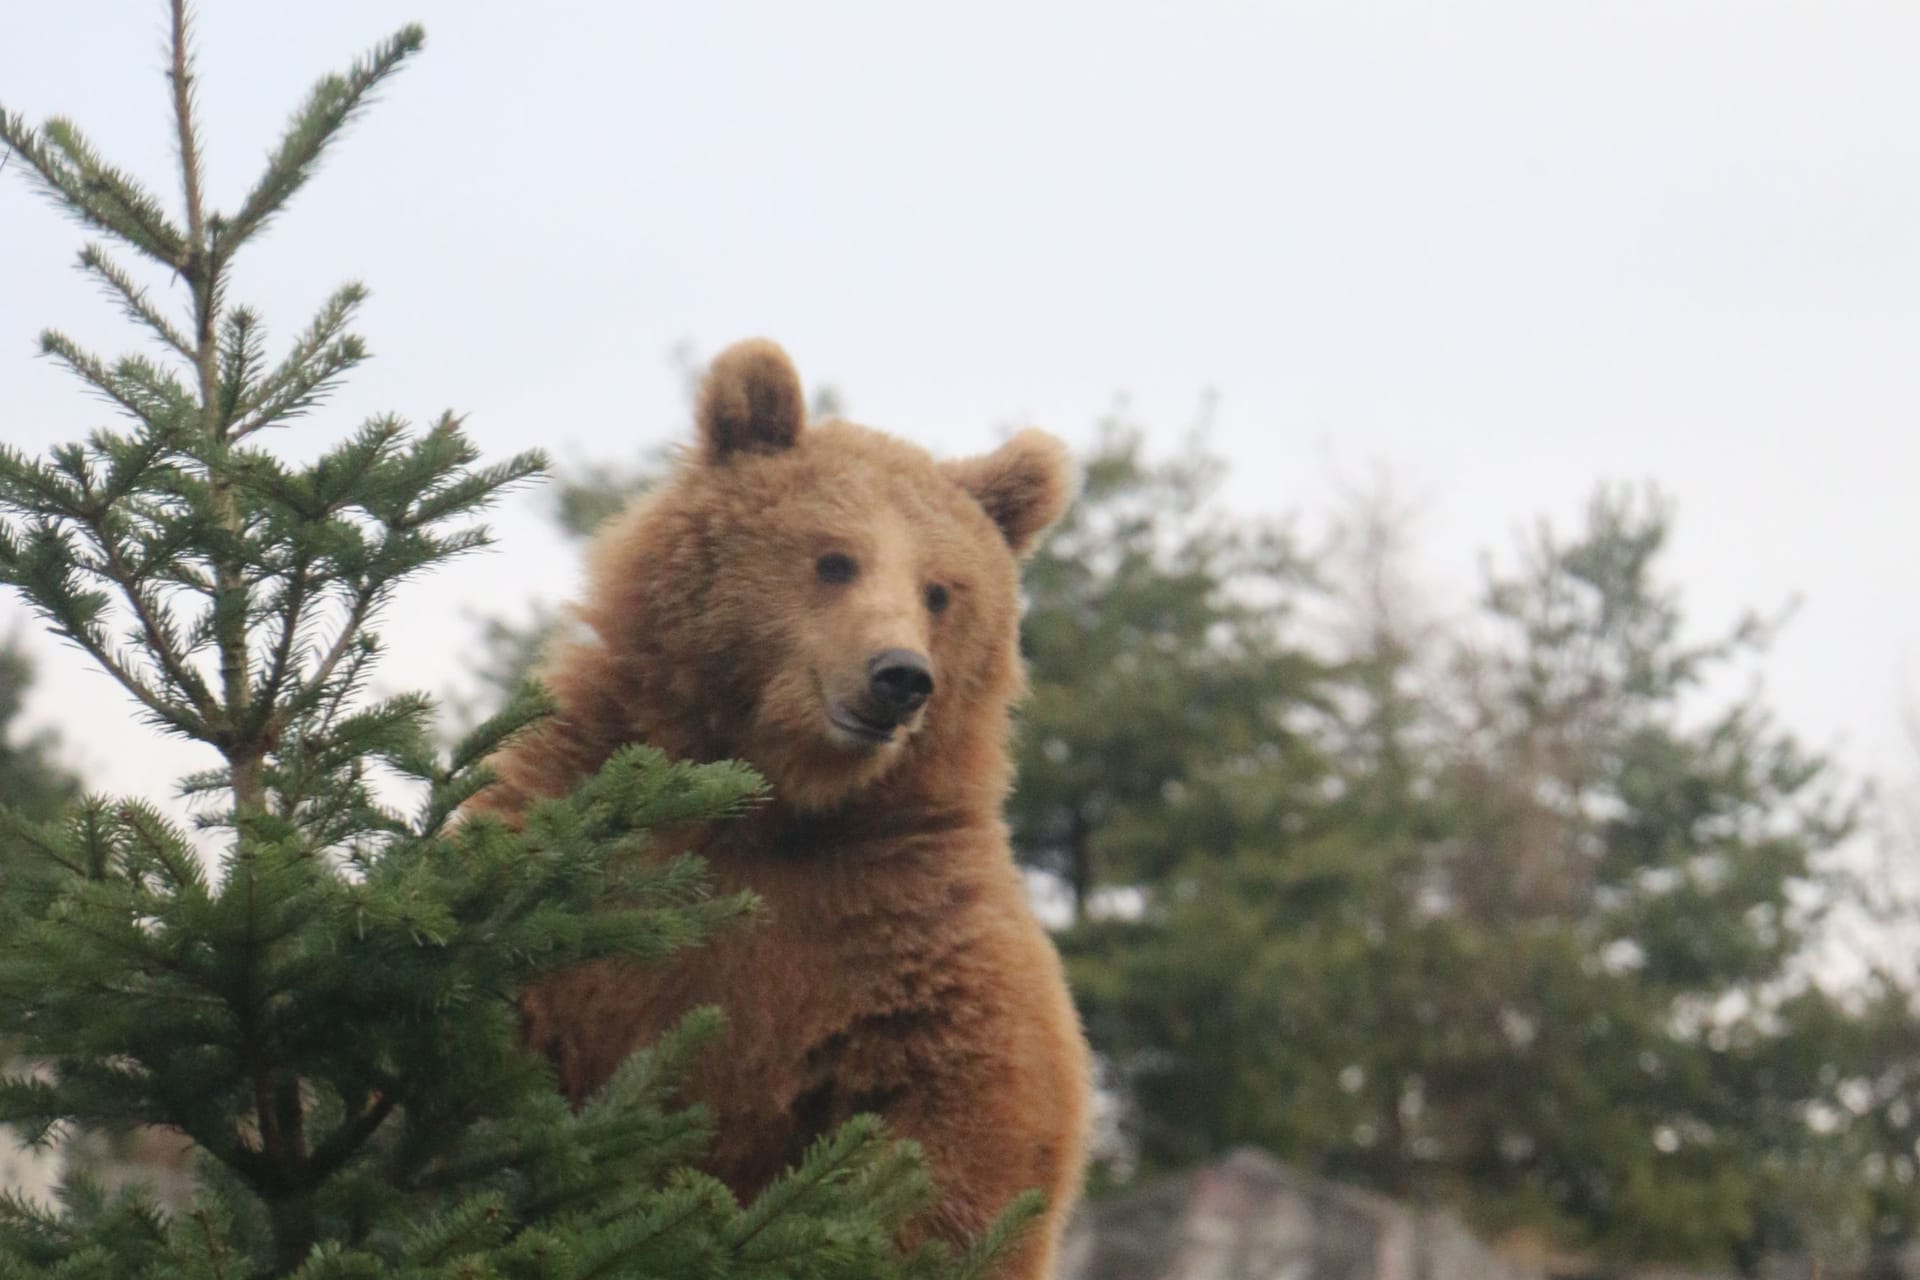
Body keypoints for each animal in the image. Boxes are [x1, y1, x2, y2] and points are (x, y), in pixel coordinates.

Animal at [470, 337, 1090, 1274]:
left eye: (941, 589)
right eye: (834, 558)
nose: (898, 677)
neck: (772, 798)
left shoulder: (907, 914)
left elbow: (969, 1127)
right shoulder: (564, 846)